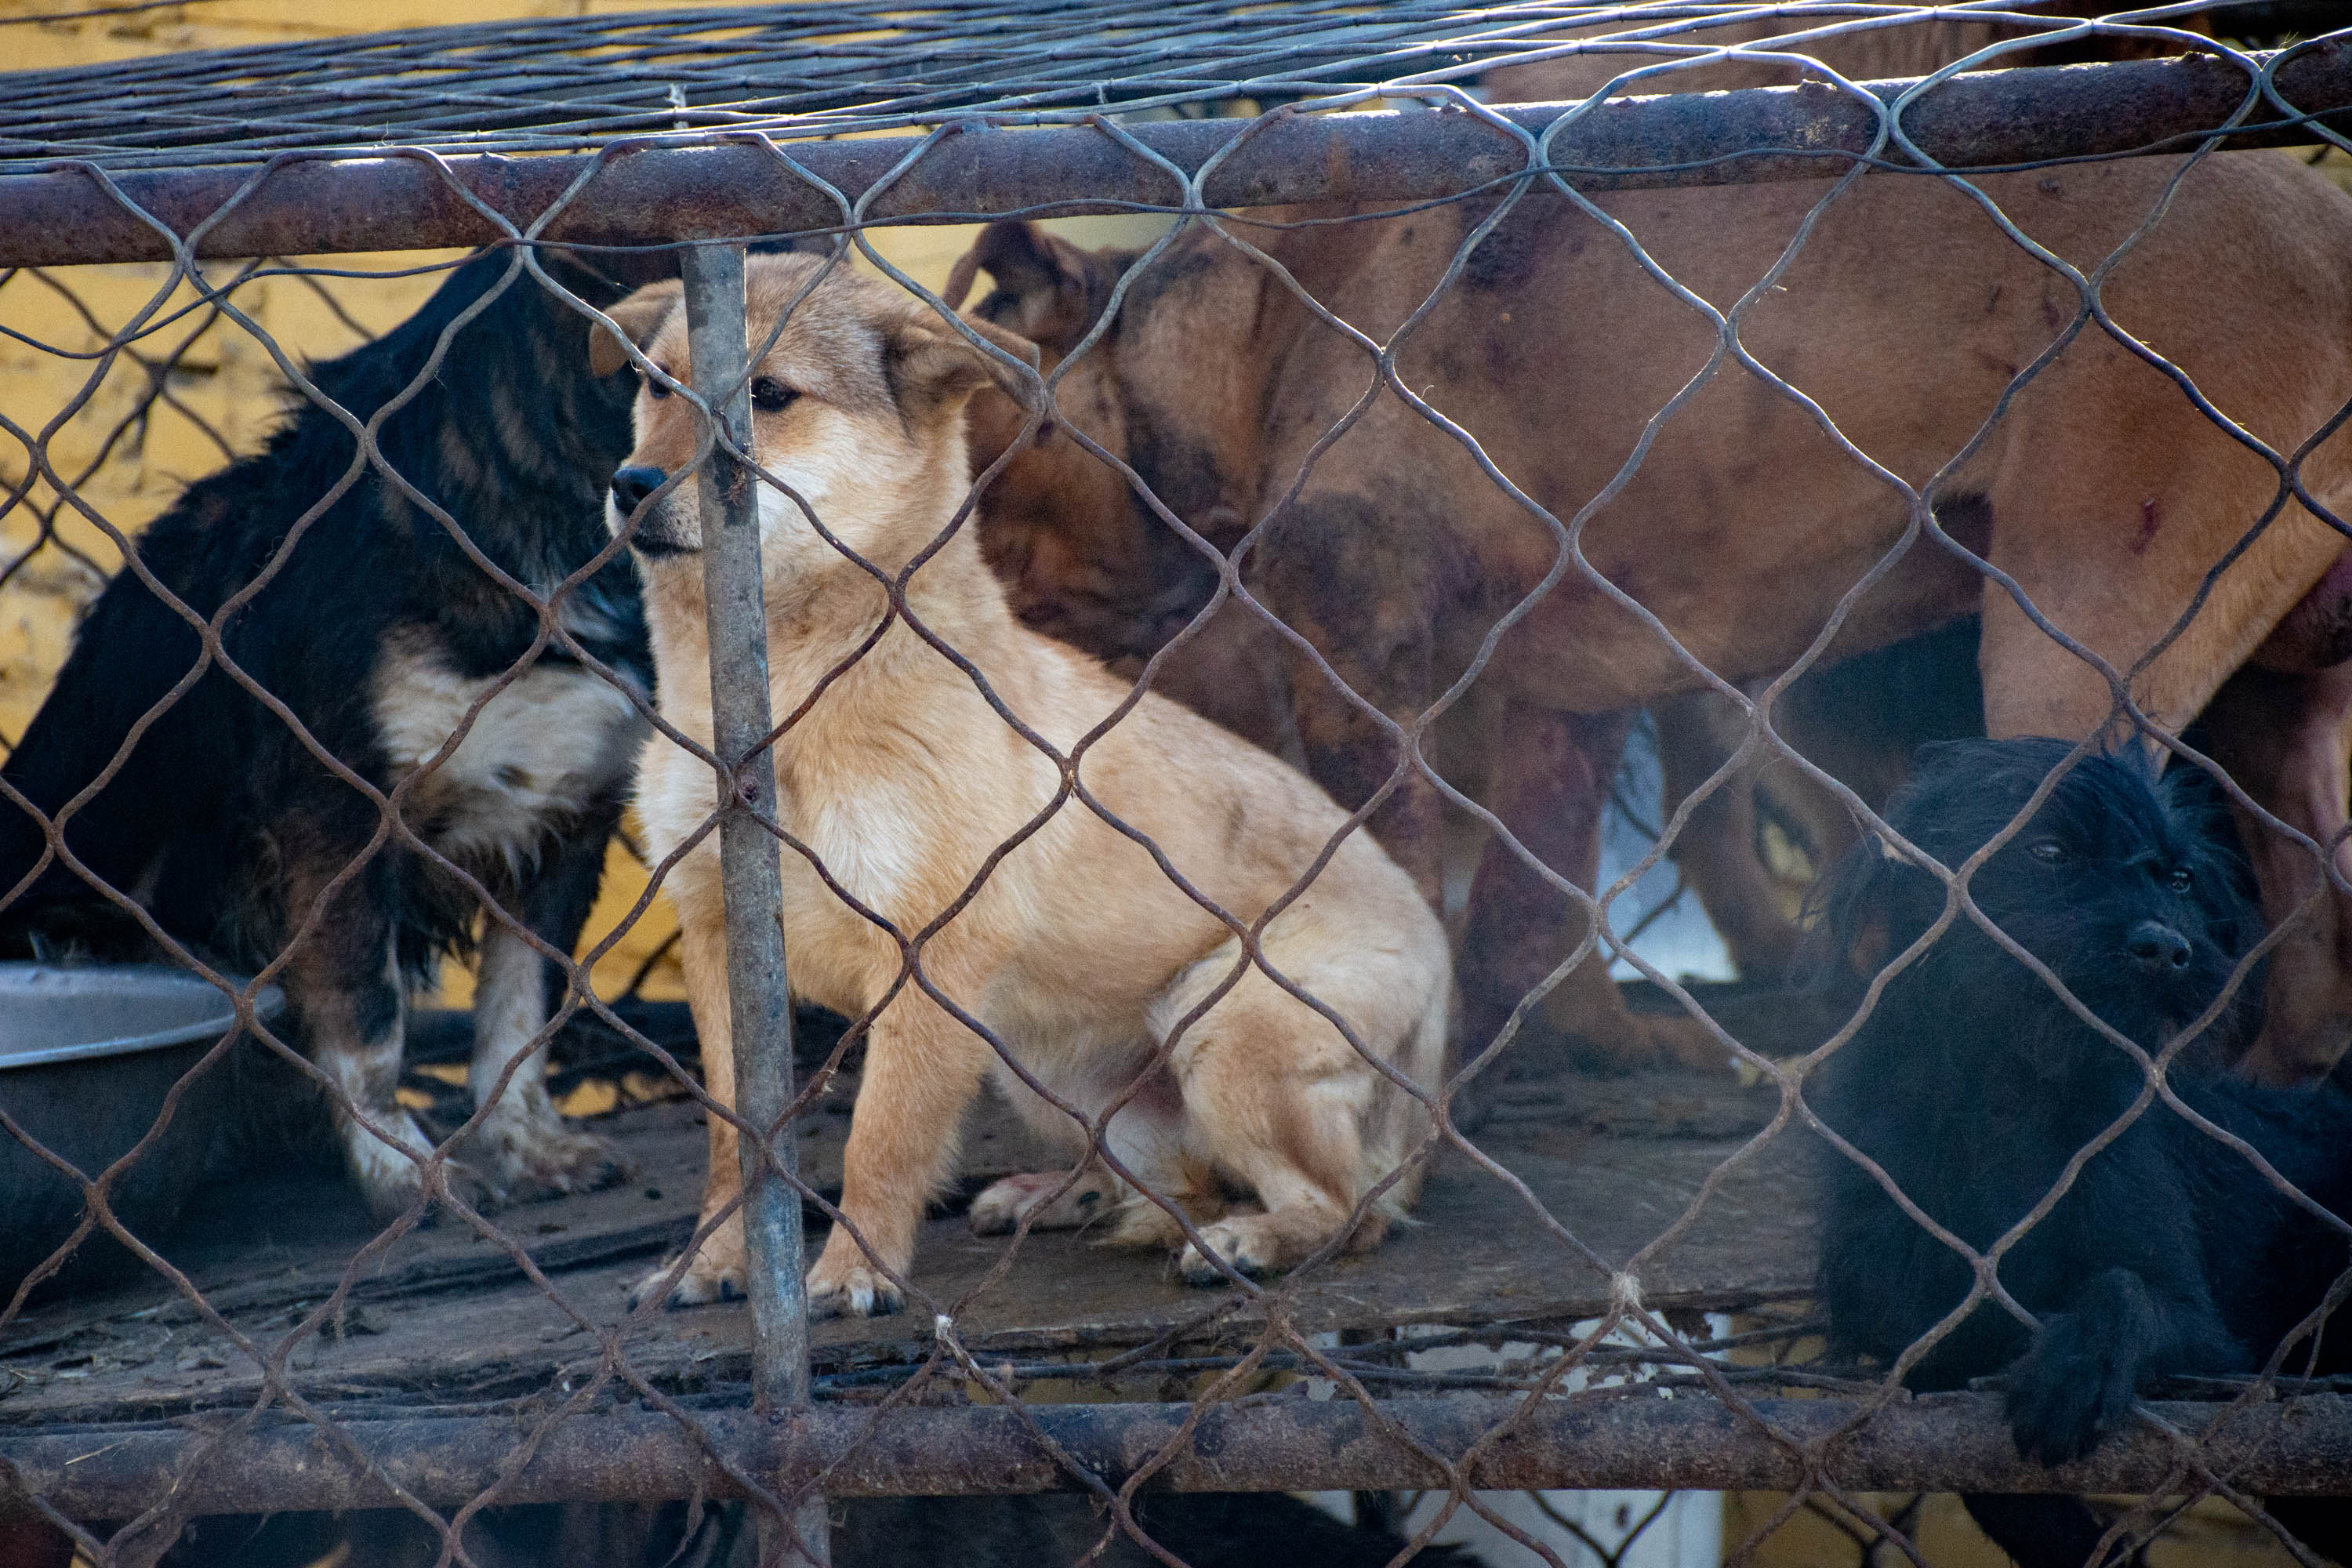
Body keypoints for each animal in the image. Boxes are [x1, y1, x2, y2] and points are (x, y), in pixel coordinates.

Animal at [0, 251, 654, 1222]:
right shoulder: (337, 816)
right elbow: (367, 1017)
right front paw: (406, 1175)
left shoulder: (568, 818)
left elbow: (521, 1014)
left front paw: (528, 1147)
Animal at [593, 257, 1449, 1316]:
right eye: (654, 386)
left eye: (770, 396)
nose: (630, 484)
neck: (783, 704)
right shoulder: (718, 938)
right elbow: (731, 1141)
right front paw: (715, 1259)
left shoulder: (927, 954)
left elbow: (883, 1136)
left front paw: (856, 1270)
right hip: (1047, 1063)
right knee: (1183, 1181)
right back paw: (1066, 1195)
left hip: (1224, 1023)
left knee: (1343, 1208)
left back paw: (1248, 1239)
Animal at [946, 147, 2352, 1081]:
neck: (1238, 338)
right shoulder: (1556, 697)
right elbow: (1529, 902)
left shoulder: (1360, 666)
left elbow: (1391, 879)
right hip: (2265, 701)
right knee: (2304, 901)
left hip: (2069, 649)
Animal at [1806, 738, 2352, 1568]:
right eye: (2049, 852)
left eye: (2179, 878)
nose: (2165, 946)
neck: (2010, 1092)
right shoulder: (1909, 1329)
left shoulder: (2213, 1343)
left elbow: (2134, 1291)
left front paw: (2085, 1358)